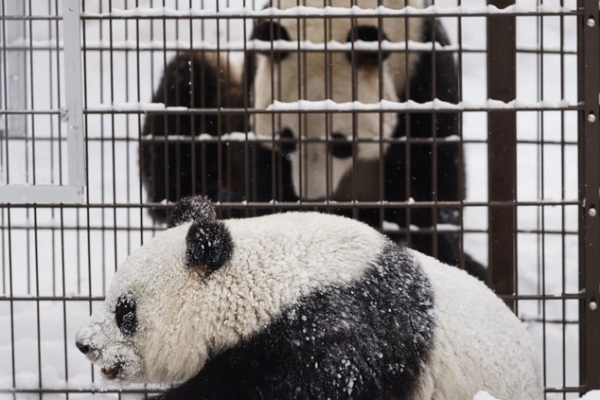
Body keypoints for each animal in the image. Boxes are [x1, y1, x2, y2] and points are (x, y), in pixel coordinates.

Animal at [141, 0, 488, 282]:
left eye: (342, 145)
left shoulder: (422, 59)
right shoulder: (255, 72)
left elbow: (432, 169)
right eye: (286, 141)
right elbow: (261, 173)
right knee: (187, 83)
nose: (312, 197)